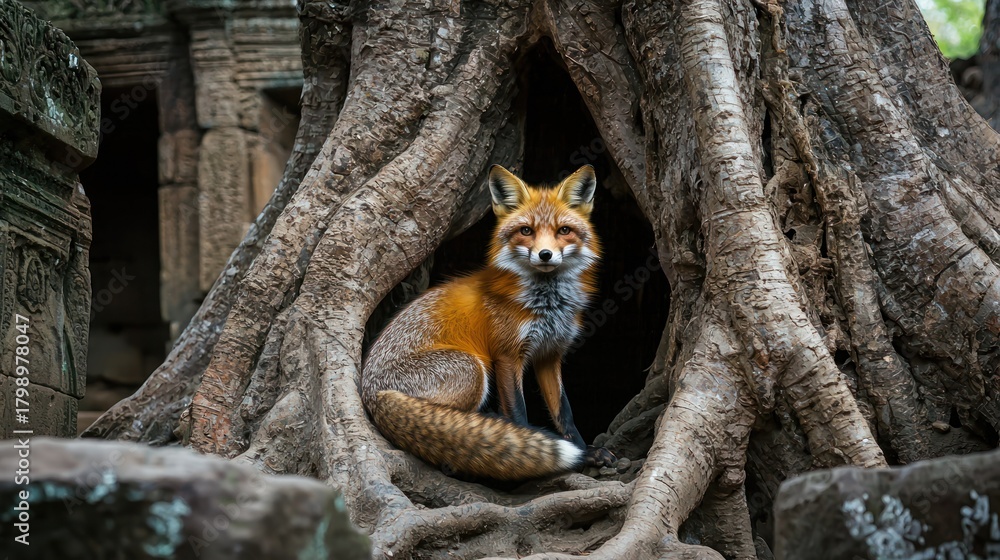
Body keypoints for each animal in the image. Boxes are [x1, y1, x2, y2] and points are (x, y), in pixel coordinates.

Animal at [360, 164, 615, 480]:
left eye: (564, 231)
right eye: (526, 231)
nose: (545, 254)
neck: (547, 305)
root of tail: (372, 393)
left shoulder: (550, 354)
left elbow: (564, 412)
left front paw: (584, 449)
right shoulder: (507, 355)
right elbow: (518, 412)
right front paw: (531, 454)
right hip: (472, 368)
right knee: (448, 430)